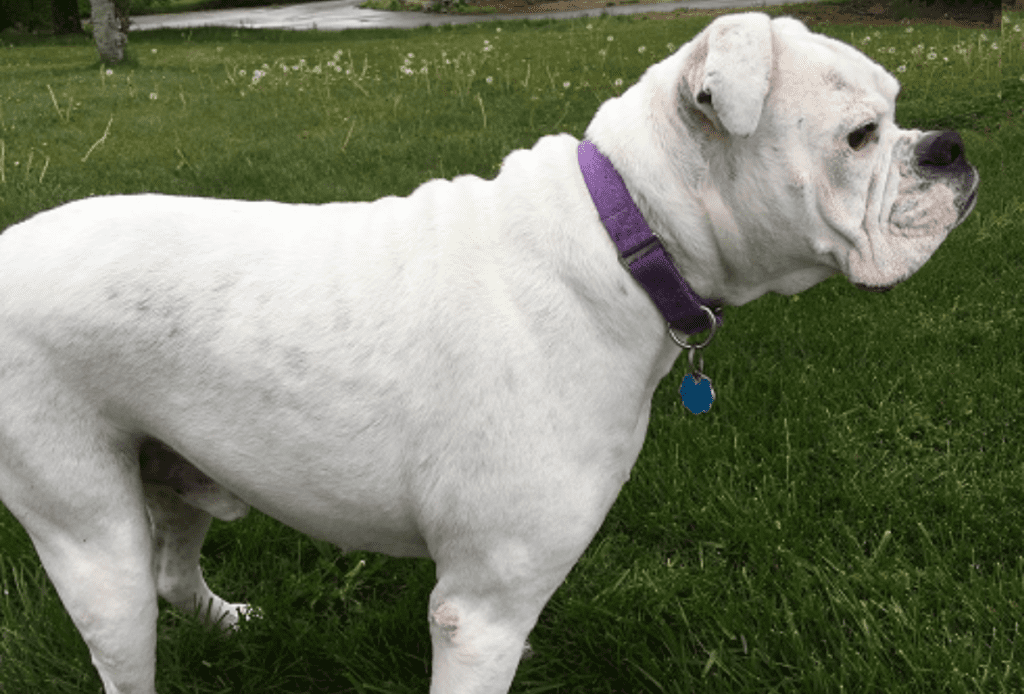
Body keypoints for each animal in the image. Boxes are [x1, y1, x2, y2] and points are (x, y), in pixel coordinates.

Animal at [0, 12, 974, 694]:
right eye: (860, 136)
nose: (950, 147)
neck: (625, 233)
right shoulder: (484, 609)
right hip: (93, 543)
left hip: (176, 473)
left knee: (175, 572)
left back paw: (233, 621)